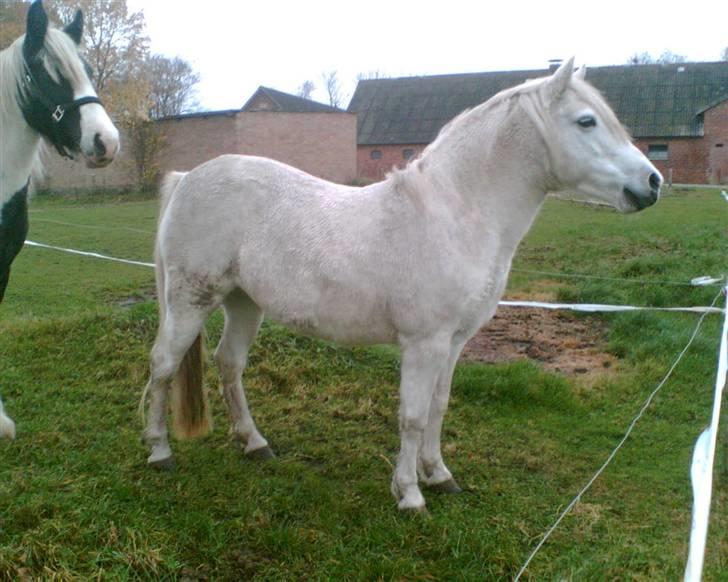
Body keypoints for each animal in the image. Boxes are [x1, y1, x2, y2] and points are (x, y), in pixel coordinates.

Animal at [140, 59, 661, 511]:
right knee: (164, 365)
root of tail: (188, 178)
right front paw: (410, 494)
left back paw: (254, 443)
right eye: (587, 121)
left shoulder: (453, 342)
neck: (455, 214)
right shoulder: (423, 343)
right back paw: (159, 451)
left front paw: (439, 474)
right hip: (190, 300)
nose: (652, 183)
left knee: (229, 365)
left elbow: (438, 407)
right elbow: (411, 415)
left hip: (244, 302)